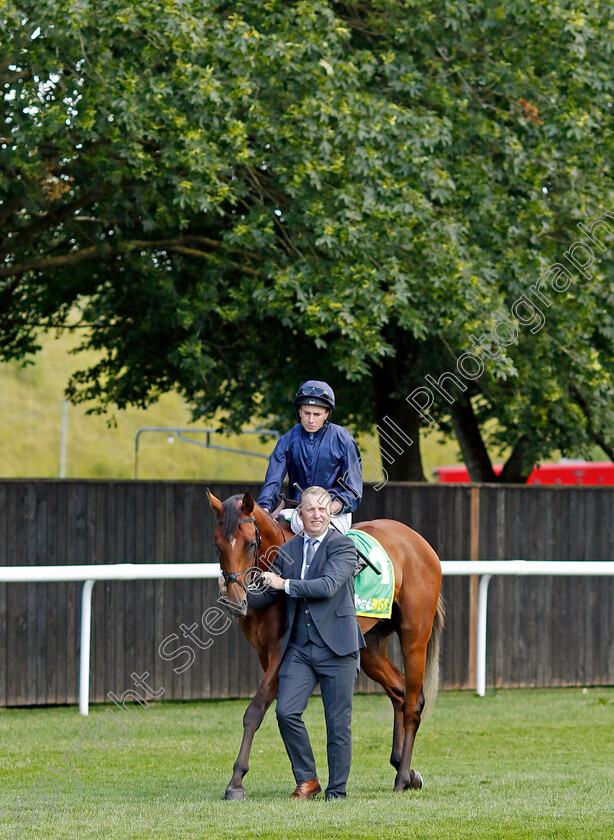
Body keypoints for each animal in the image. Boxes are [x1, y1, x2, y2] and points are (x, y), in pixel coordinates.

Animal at [209, 488, 446, 796]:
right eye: (218, 545)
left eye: (250, 544)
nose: (235, 603)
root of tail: (419, 542)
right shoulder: (265, 655)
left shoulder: (279, 654)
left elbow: (254, 711)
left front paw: (236, 780)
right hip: (368, 647)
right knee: (400, 692)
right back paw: (403, 768)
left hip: (414, 634)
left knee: (414, 704)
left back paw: (403, 776)